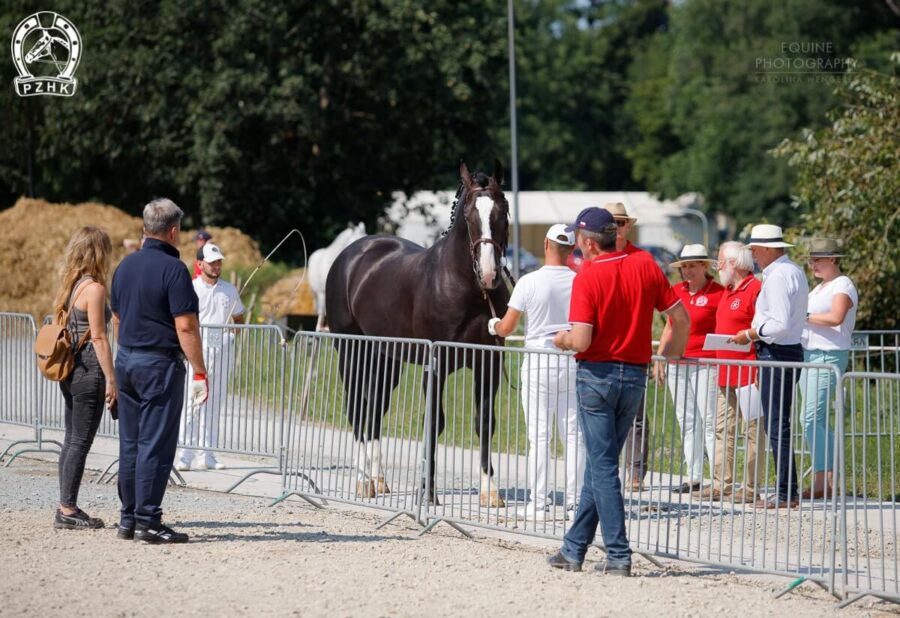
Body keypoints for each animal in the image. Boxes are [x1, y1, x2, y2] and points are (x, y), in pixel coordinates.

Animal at [326, 159, 510, 506]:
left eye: (502, 210)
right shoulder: (435, 365)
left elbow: (485, 421)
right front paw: (428, 494)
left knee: (374, 408)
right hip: (351, 353)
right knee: (356, 408)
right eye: (469, 215)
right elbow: (434, 422)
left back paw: (378, 480)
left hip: (386, 360)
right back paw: (363, 482)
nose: (490, 274)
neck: (464, 288)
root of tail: (352, 253)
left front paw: (490, 492)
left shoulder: (488, 364)